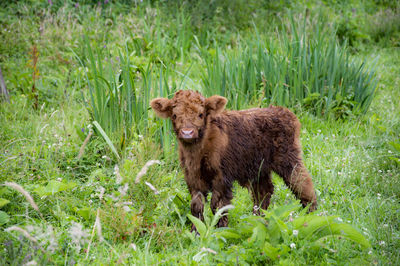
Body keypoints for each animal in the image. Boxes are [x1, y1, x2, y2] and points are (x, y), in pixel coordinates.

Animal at [150, 90, 316, 228]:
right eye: (174, 115)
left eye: (201, 114)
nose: (187, 132)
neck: (198, 153)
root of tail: (283, 111)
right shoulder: (192, 177)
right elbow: (197, 207)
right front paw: (195, 232)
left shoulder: (222, 178)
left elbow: (218, 206)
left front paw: (220, 231)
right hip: (260, 168)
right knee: (263, 192)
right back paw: (256, 221)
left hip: (289, 160)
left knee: (303, 184)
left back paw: (311, 215)